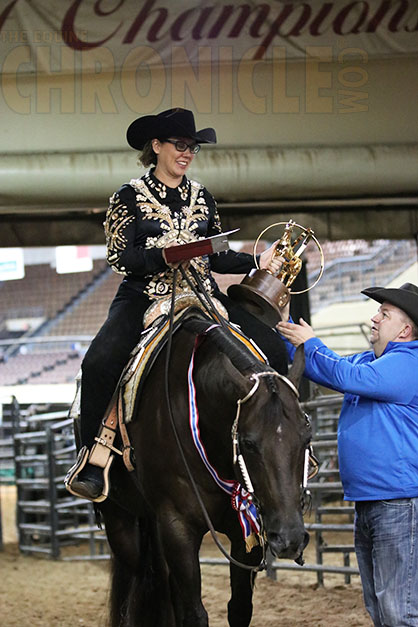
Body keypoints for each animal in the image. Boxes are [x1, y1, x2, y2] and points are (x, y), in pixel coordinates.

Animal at [98, 316, 310, 624]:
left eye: (307, 437)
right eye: (247, 443)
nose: (289, 539)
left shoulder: (246, 532)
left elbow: (240, 607)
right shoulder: (177, 526)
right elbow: (194, 614)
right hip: (121, 521)